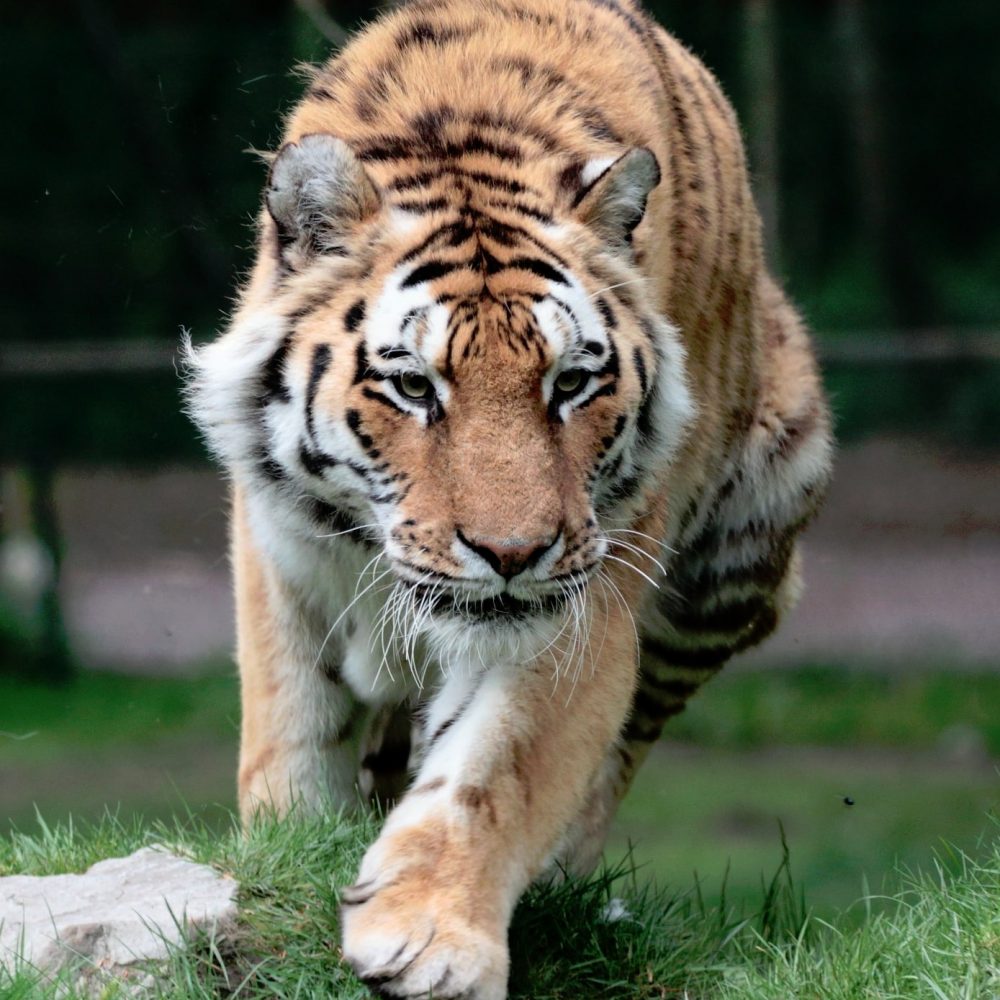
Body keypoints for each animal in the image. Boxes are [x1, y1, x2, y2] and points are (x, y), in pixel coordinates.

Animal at [185, 0, 832, 996]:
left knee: (620, 753)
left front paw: (429, 938)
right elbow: (290, 726)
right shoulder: (280, 544)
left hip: (741, 550)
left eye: (570, 383)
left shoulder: (580, 596)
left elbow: (495, 768)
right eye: (413, 386)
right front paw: (289, 851)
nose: (513, 554)